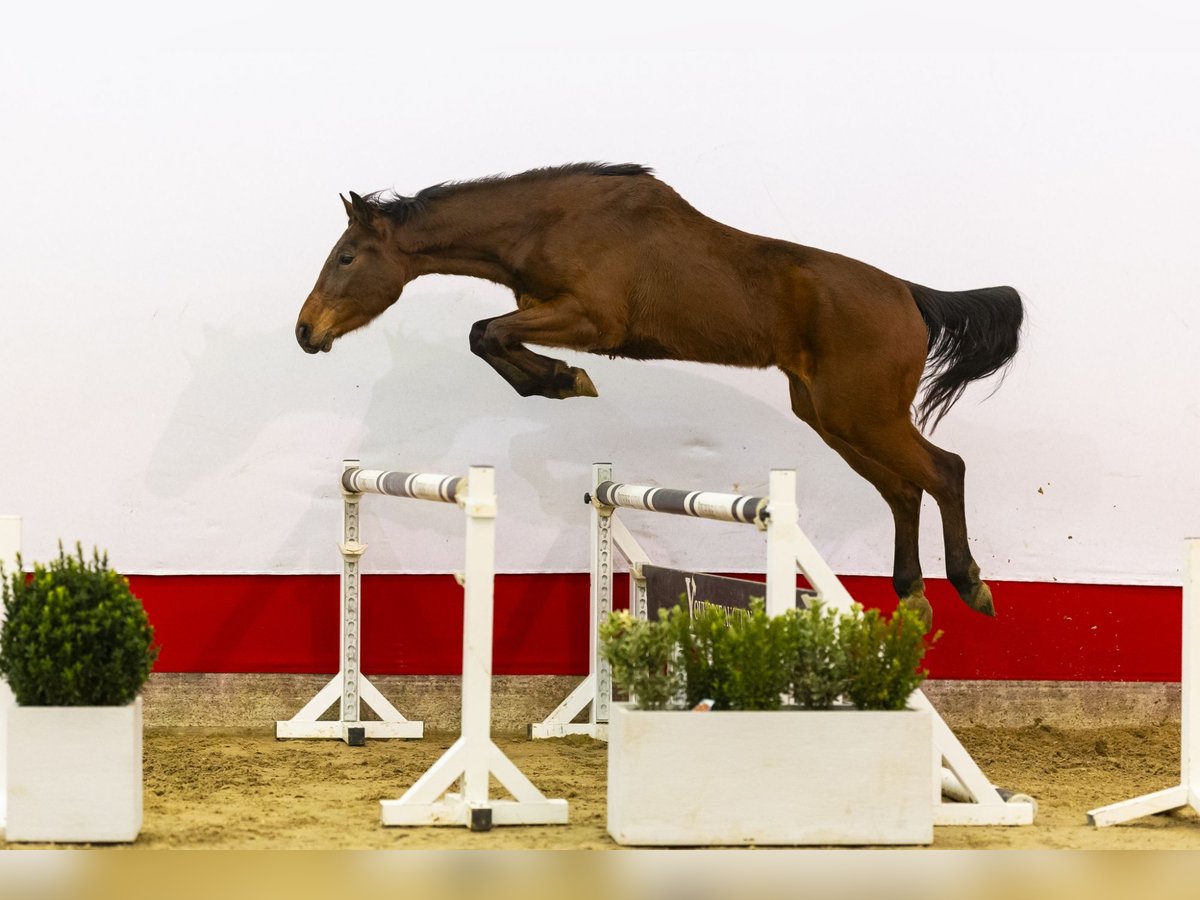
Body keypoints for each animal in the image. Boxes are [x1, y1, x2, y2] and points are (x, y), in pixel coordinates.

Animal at [297, 162, 1022, 628]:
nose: (306, 332)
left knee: (944, 471)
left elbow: (485, 333)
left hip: (862, 414)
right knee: (903, 489)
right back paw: (914, 596)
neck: (543, 222)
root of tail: (910, 295)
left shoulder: (590, 320)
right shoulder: (546, 312)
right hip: (832, 416)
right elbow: (490, 337)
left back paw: (972, 587)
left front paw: (563, 380)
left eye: (346, 257)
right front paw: (557, 381)